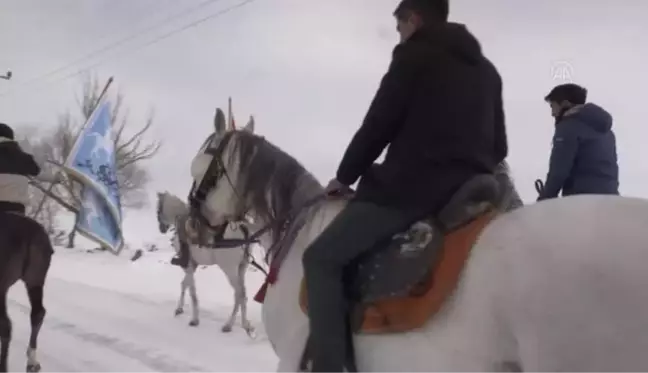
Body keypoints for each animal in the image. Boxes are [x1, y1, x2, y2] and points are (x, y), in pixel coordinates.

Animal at [156, 190, 256, 336]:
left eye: (158, 209)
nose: (161, 228)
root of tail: (244, 230)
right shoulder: (192, 266)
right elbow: (184, 284)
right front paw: (179, 309)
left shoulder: (188, 265)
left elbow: (192, 291)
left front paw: (194, 320)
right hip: (242, 267)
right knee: (242, 293)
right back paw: (242, 324)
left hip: (229, 269)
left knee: (239, 293)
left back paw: (231, 325)